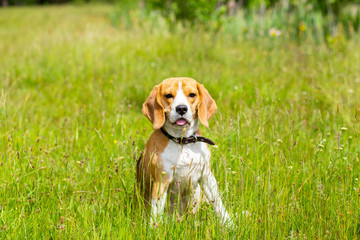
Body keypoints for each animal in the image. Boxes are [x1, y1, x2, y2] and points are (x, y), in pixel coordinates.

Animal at [136, 78, 232, 226]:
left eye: (192, 94)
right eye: (168, 95)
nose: (181, 108)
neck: (183, 141)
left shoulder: (206, 176)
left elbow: (218, 203)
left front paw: (229, 225)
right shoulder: (161, 180)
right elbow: (156, 212)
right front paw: (155, 228)